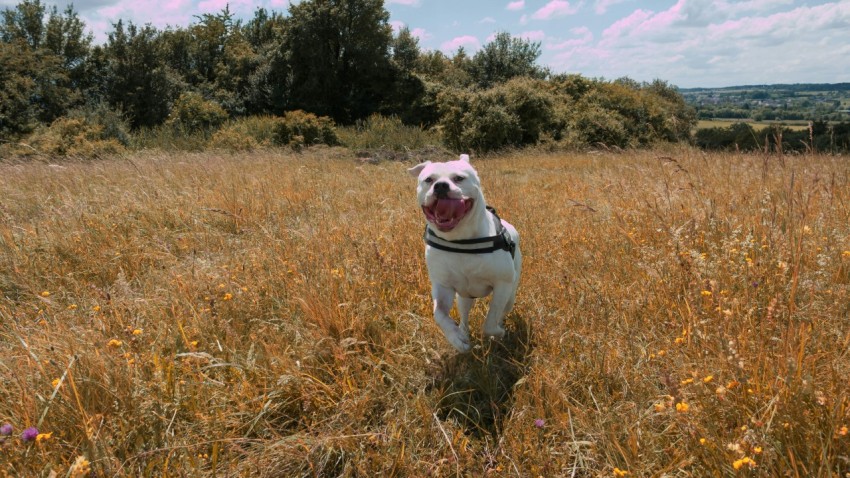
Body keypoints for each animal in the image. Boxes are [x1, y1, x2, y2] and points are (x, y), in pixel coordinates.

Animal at [408, 153, 520, 352]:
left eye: (459, 178)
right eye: (429, 180)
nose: (441, 186)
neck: (460, 241)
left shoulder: (502, 285)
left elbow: (490, 322)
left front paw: (498, 333)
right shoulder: (443, 286)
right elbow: (439, 314)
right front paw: (456, 339)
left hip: (510, 294)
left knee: (502, 312)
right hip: (464, 298)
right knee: (464, 315)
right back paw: (463, 332)